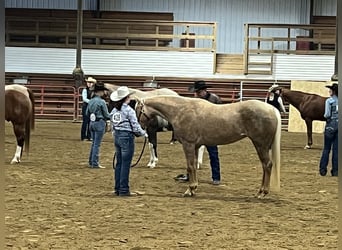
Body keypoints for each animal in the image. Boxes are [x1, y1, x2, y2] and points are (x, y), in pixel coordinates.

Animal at [135, 95, 282, 197]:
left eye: (137, 110)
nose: (139, 129)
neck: (180, 110)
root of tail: (272, 109)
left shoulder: (188, 145)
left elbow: (190, 166)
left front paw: (189, 190)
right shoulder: (195, 146)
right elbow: (194, 166)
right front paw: (193, 189)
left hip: (260, 144)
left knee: (267, 165)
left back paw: (262, 192)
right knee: (265, 166)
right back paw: (260, 191)